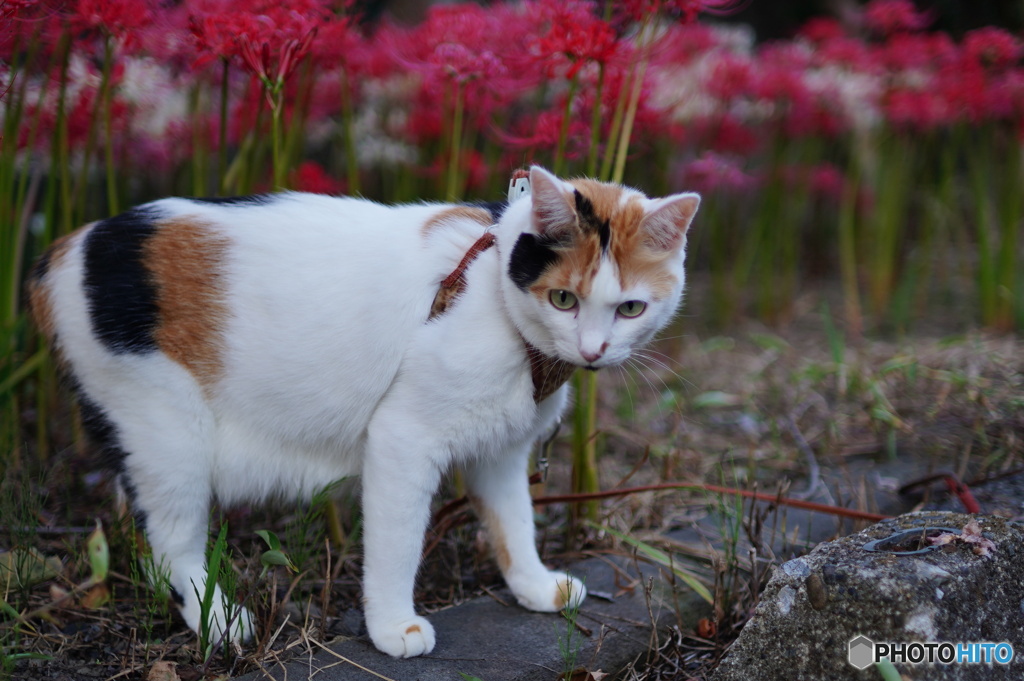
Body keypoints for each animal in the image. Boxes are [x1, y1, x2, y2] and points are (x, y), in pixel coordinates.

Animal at [32, 165, 700, 659]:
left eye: (631, 308)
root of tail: (70, 245)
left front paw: (534, 585)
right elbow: (398, 543)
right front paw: (393, 627)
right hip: (168, 435)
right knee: (173, 542)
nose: (593, 349)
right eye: (563, 298)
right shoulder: (404, 439)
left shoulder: (503, 450)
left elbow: (514, 521)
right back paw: (217, 619)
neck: (492, 292)